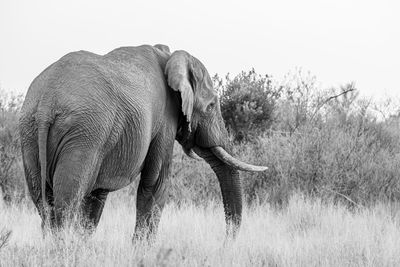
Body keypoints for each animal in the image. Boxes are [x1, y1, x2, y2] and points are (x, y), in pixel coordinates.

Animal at [19, 45, 268, 240]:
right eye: (211, 106)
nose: (226, 242)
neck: (170, 56)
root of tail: (46, 103)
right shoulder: (164, 120)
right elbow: (156, 183)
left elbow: (96, 196)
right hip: (84, 135)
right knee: (66, 204)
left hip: (30, 133)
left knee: (44, 205)